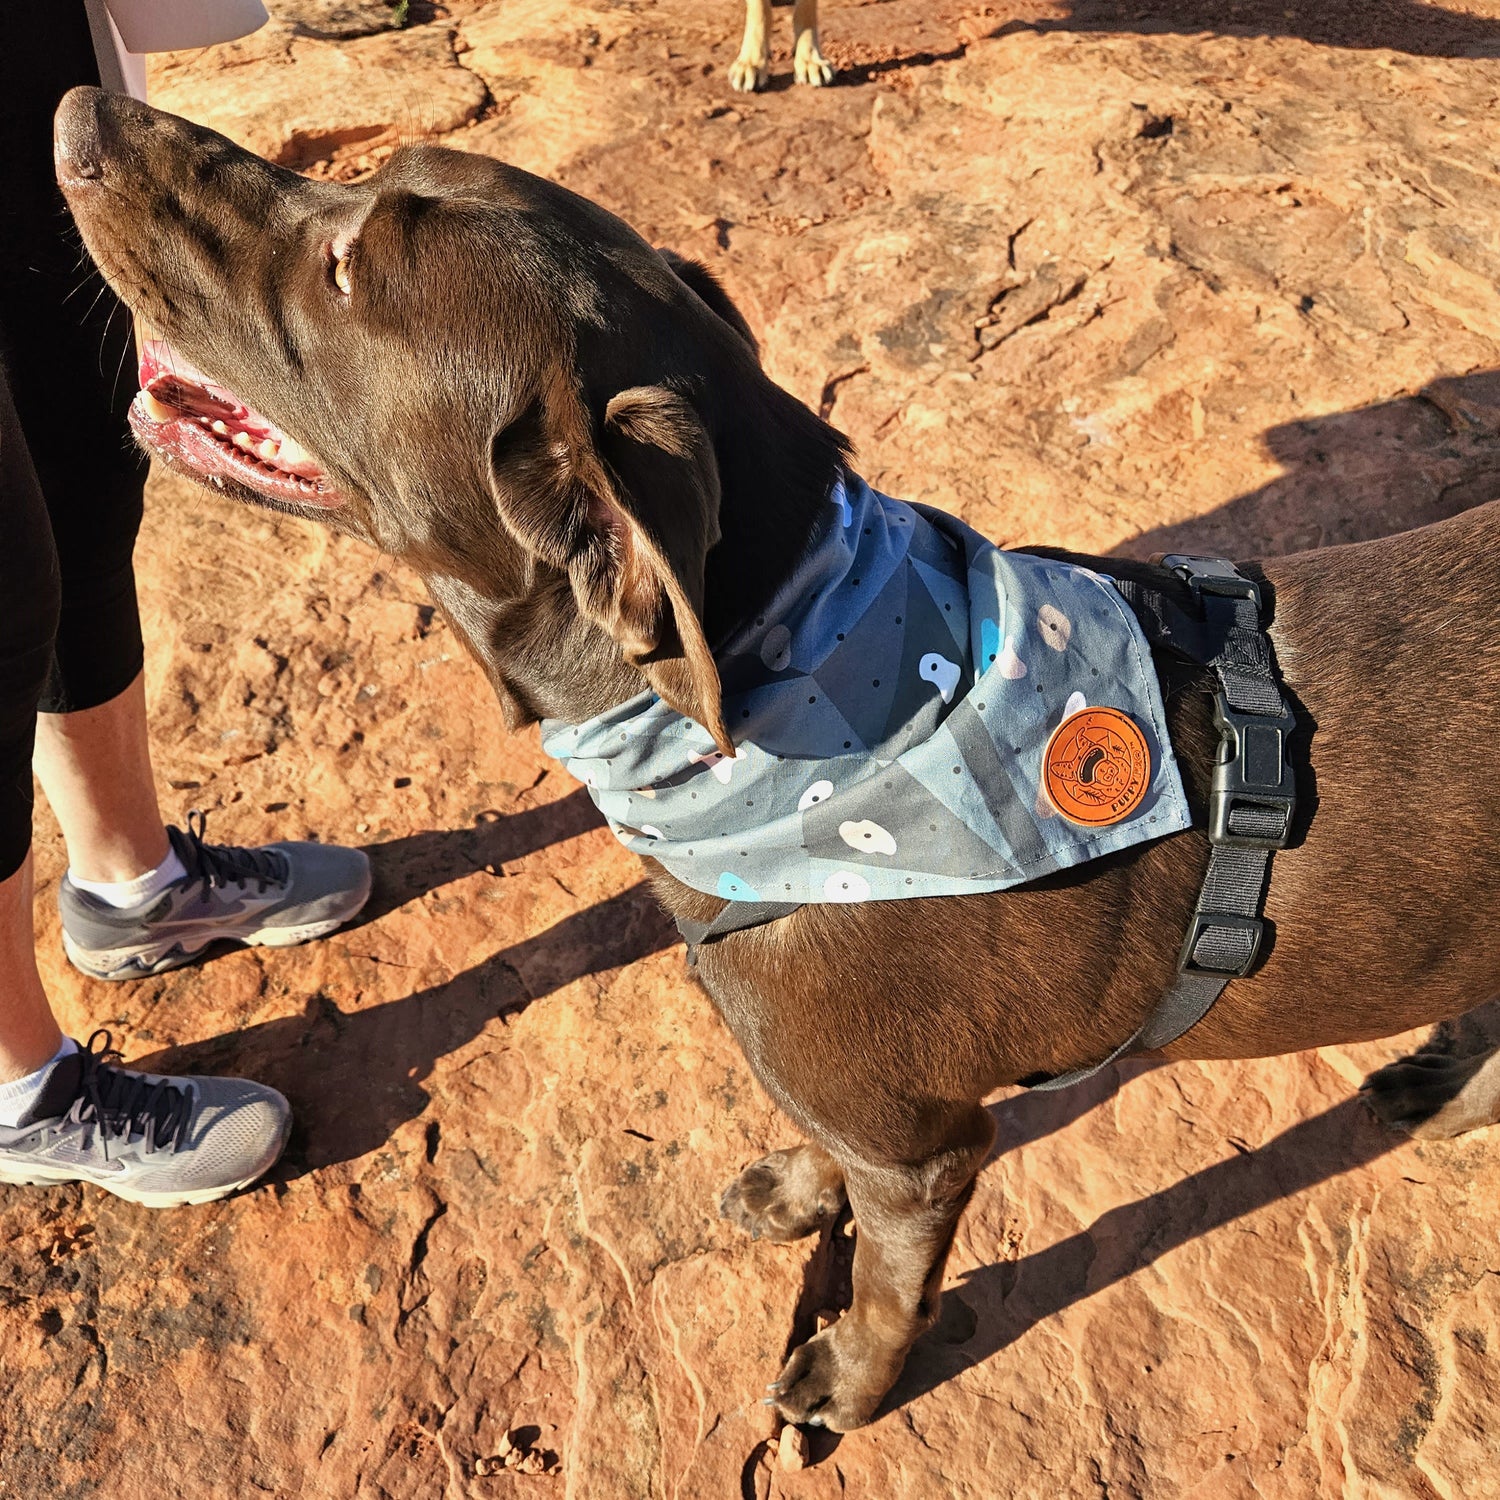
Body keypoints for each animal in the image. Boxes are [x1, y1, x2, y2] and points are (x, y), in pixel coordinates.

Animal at [61, 87, 1500, 1434]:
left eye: (346, 265)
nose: (80, 116)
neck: (818, 716)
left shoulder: (928, 1157)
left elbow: (890, 1280)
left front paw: (851, 1380)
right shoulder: (865, 1112)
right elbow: (822, 1148)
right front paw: (803, 1191)